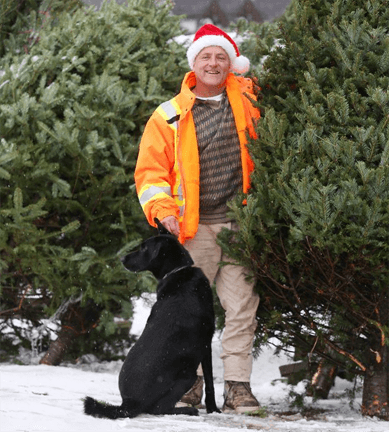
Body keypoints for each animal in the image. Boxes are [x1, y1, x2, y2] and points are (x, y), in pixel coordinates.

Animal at [83, 219, 220, 418]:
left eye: (143, 248)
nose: (121, 259)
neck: (178, 272)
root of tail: (128, 403)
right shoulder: (206, 344)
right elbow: (210, 381)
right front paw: (214, 409)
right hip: (188, 374)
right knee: (159, 409)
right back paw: (187, 410)